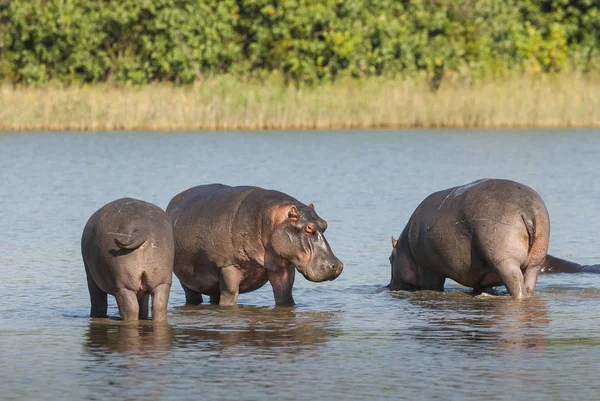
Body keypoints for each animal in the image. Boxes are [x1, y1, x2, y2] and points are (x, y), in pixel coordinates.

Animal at [165, 184, 342, 306]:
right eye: (309, 228)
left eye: (325, 224)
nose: (337, 265)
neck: (269, 220)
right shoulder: (228, 267)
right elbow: (230, 296)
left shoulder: (283, 267)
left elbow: (285, 296)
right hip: (188, 281)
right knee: (193, 295)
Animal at [392, 180, 552, 298]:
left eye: (390, 258)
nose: (389, 286)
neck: (405, 246)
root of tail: (527, 209)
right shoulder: (481, 273)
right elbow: (482, 285)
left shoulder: (428, 269)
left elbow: (432, 286)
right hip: (536, 260)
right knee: (529, 284)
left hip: (505, 262)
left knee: (516, 284)